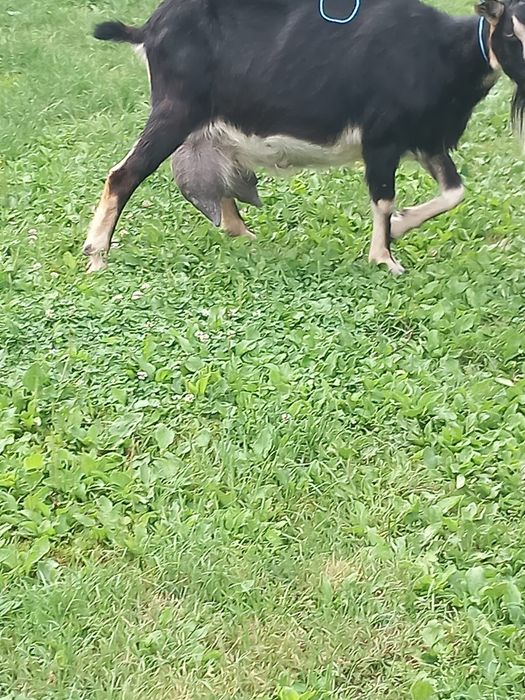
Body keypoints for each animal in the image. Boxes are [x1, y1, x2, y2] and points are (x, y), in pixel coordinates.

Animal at [83, 0, 525, 274]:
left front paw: (400, 228)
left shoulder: (426, 139)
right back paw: (96, 255)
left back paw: (246, 235)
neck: (442, 53)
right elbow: (384, 199)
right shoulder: (380, 139)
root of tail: (148, 28)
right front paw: (385, 258)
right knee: (123, 174)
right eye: (511, 33)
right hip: (174, 110)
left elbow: (454, 191)